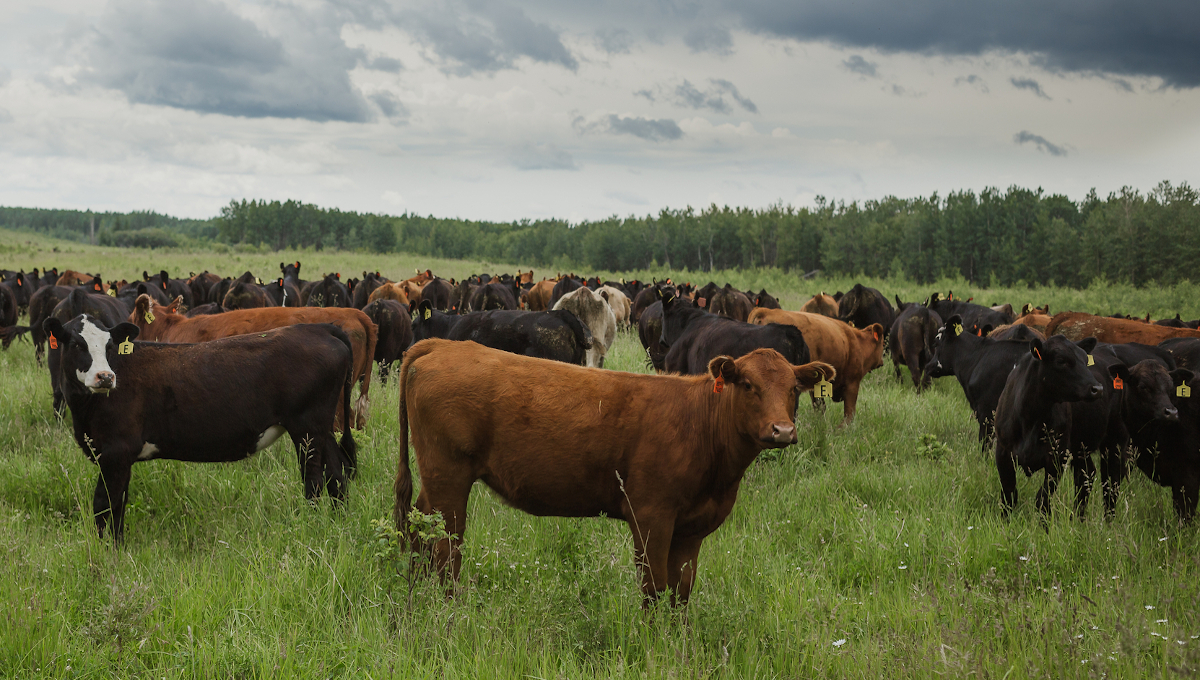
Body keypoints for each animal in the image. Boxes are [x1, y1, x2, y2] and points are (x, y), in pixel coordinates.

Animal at [393, 340, 835, 606]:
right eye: (746, 384)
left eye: (793, 389)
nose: (782, 431)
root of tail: (445, 344)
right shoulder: (651, 516)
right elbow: (655, 587)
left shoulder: (692, 527)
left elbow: (681, 591)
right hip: (449, 477)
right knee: (445, 548)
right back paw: (448, 608)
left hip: (436, 479)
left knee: (418, 530)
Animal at [744, 309, 888, 426]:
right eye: (882, 343)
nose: (882, 361)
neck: (856, 341)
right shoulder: (852, 383)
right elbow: (849, 412)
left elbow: (819, 407)